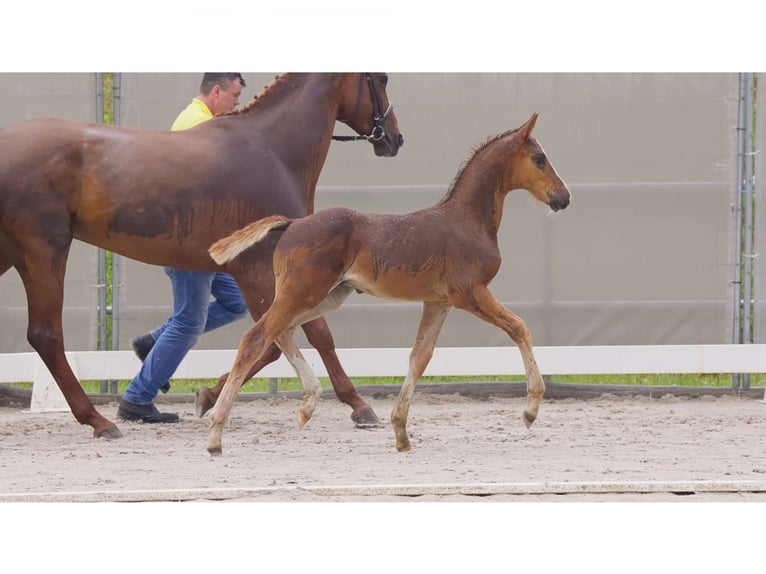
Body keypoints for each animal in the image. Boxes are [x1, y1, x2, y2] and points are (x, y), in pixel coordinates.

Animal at [0, 73, 404, 440]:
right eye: (381, 78)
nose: (395, 138)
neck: (271, 151)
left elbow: (284, 341)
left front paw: (207, 395)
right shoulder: (260, 266)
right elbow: (296, 337)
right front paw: (359, 405)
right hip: (44, 248)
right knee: (46, 335)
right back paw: (99, 421)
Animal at [207, 111, 572, 454]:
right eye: (539, 158)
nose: (564, 197)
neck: (467, 220)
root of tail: (292, 223)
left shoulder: (438, 302)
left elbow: (419, 357)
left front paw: (401, 433)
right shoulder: (470, 293)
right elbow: (519, 327)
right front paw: (530, 410)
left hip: (326, 295)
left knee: (281, 333)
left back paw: (307, 404)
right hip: (301, 292)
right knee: (256, 338)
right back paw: (215, 434)